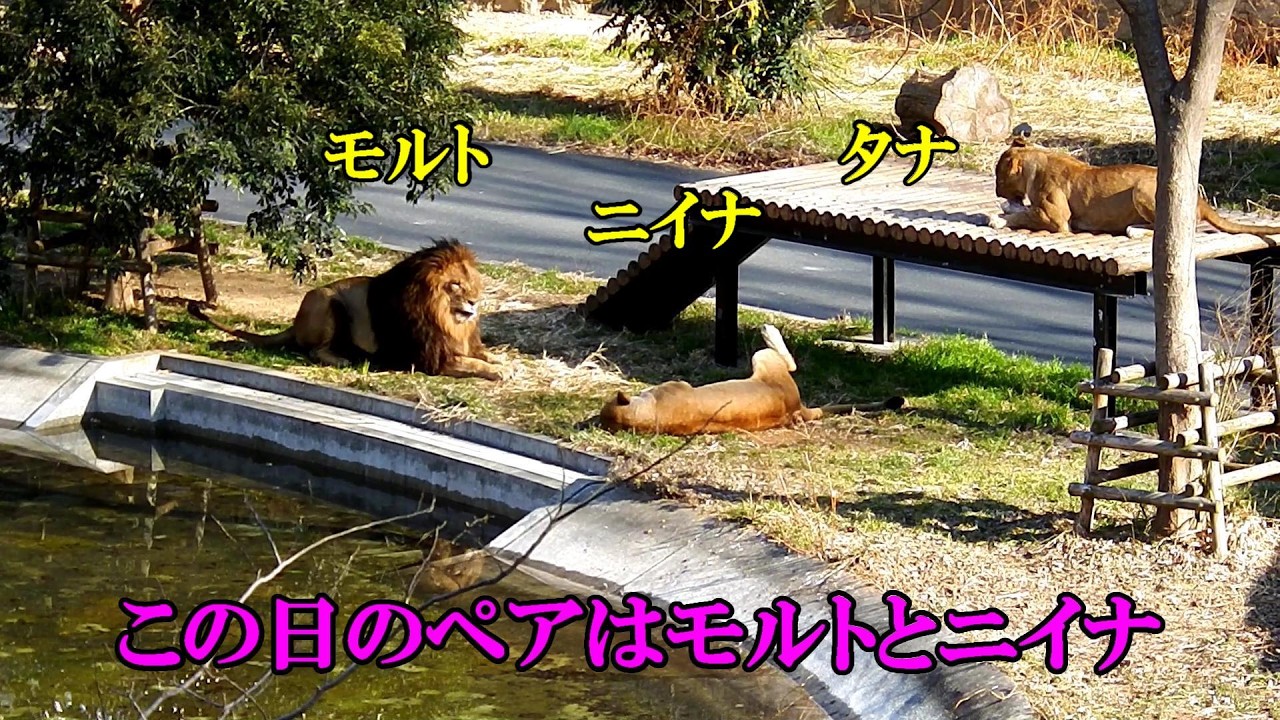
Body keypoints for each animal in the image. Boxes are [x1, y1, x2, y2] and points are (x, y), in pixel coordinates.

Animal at [189, 239, 503, 381]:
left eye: (473, 284)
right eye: (455, 285)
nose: (474, 302)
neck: (444, 318)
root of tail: (295, 322)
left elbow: (480, 354)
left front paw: (500, 361)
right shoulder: (429, 359)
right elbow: (471, 363)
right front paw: (498, 371)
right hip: (327, 302)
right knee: (314, 351)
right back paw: (342, 359)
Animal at [598, 324, 905, 436]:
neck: (648, 416)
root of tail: (796, 409)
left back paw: (768, 329)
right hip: (765, 362)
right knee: (789, 363)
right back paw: (768, 329)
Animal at [988, 134, 1280, 238]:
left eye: (998, 177)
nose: (996, 191)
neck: (1036, 161)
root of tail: (1199, 199)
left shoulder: (1057, 219)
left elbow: (1024, 214)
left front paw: (998, 218)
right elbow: (1021, 209)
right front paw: (1005, 208)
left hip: (1142, 191)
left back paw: (1134, 230)